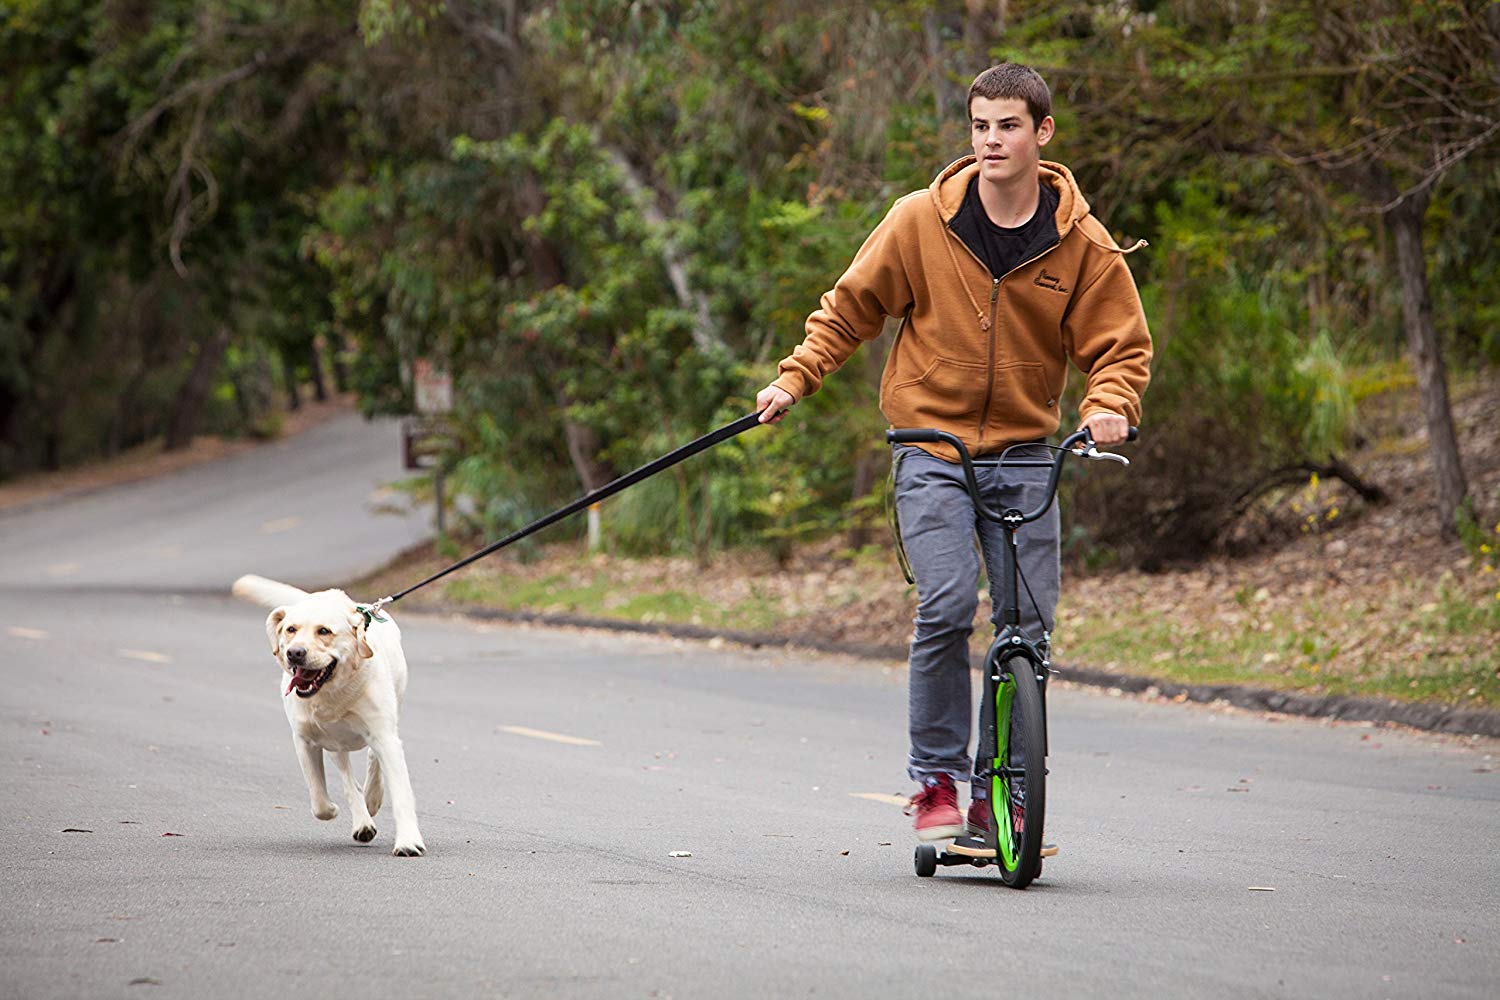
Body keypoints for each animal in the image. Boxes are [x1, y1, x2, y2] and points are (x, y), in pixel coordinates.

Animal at [231, 575, 429, 857]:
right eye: (291, 629)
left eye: (324, 631)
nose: (295, 653)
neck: (333, 693)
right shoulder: (305, 741)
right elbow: (319, 799)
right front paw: (333, 809)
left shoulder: (384, 737)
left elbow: (401, 793)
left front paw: (408, 842)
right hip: (336, 746)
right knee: (349, 781)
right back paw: (363, 821)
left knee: (373, 761)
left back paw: (372, 798)